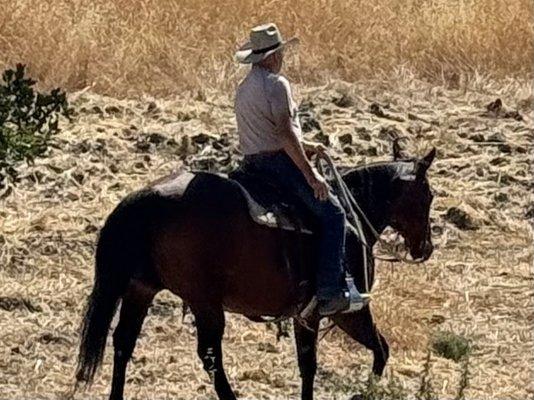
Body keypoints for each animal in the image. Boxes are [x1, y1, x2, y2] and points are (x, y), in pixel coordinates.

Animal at [74, 144, 436, 400]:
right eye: (429, 196)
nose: (426, 248)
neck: (351, 216)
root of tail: (146, 198)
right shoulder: (345, 311)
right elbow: (375, 350)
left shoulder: (304, 315)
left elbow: (309, 365)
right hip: (205, 303)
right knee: (210, 357)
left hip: (141, 289)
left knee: (123, 342)